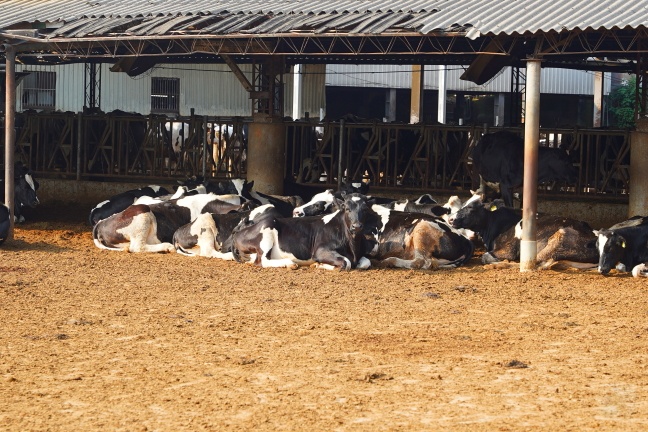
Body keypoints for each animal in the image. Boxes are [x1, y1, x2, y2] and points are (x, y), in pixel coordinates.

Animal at [233, 193, 374, 270]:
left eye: (365, 209)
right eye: (347, 208)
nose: (357, 226)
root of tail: (239, 232)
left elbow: (366, 262)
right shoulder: (320, 251)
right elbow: (346, 262)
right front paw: (319, 264)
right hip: (267, 229)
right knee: (263, 260)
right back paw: (290, 263)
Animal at [450, 194, 596, 268]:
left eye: (471, 207)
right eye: (463, 204)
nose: (451, 219)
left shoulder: (508, 250)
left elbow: (485, 257)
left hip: (558, 239)